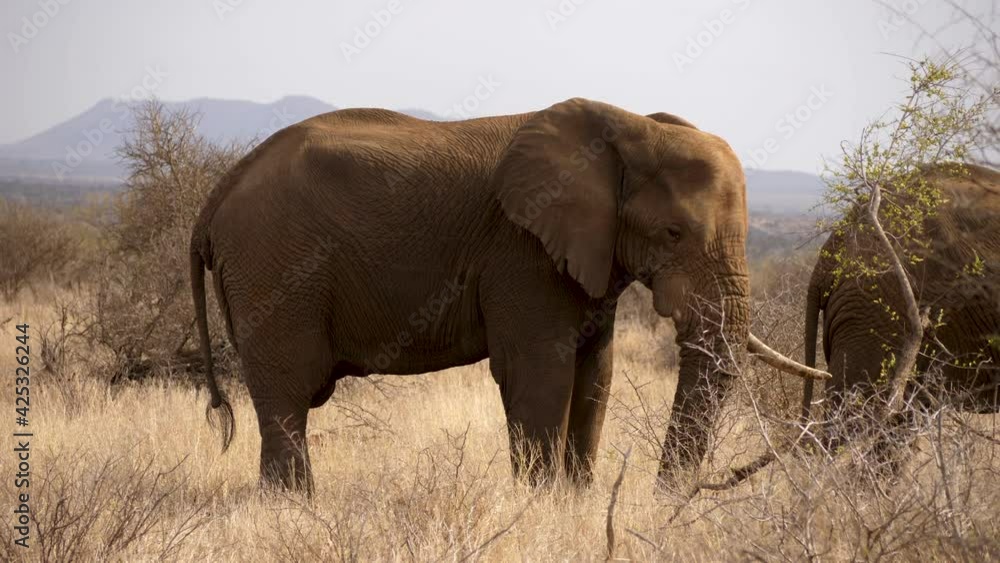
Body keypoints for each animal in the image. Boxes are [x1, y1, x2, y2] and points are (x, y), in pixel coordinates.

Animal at [190, 97, 823, 493]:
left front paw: (575, 502)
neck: (629, 126)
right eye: (672, 234)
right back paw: (296, 509)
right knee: (287, 395)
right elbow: (539, 371)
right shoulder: (522, 252)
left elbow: (596, 373)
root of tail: (222, 188)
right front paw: (541, 504)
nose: (663, 498)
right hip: (276, 267)